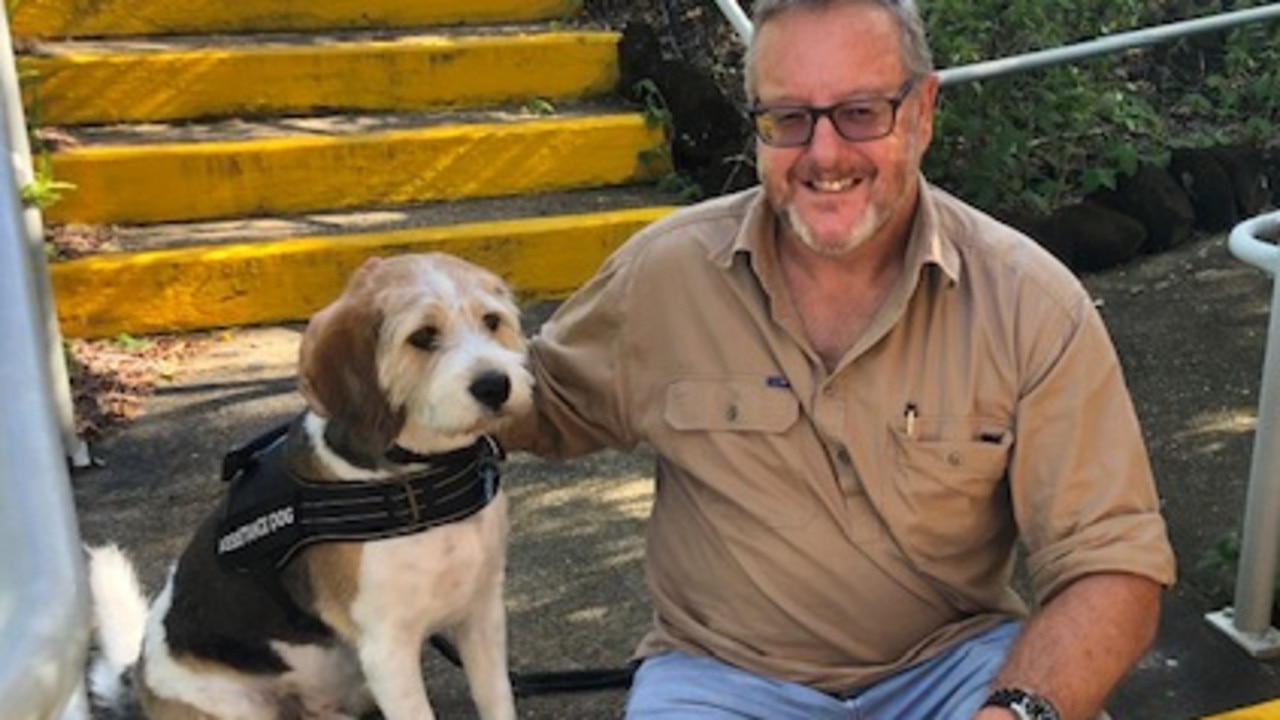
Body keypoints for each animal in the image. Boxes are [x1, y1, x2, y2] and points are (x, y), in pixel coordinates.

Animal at [85, 249, 532, 712]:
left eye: (491, 321)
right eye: (423, 336)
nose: (495, 386)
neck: (421, 473)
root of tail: (139, 677)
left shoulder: (482, 614)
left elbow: (496, 699)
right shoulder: (387, 650)